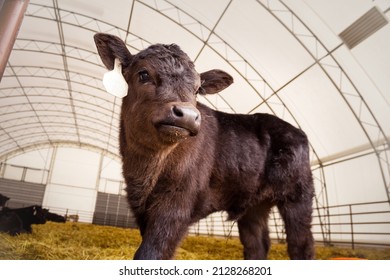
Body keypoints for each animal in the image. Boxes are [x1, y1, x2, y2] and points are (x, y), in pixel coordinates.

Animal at [96, 33, 316, 260]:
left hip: (298, 196)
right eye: (143, 74)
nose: (187, 114)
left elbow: (151, 252)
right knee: (257, 243)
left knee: (301, 245)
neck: (145, 169)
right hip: (255, 205)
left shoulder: (177, 205)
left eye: (196, 89)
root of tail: (295, 130)